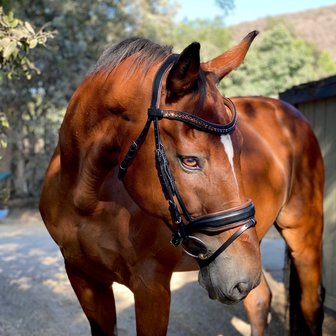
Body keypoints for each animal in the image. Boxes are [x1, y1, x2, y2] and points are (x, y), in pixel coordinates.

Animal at [38, 32, 322, 336]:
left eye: (241, 148)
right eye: (190, 160)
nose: (241, 275)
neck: (86, 198)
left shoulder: (151, 286)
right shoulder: (84, 278)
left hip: (302, 235)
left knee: (310, 304)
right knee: (259, 301)